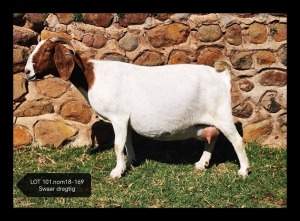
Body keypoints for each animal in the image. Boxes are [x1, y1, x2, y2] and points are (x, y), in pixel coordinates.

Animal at [24, 38, 251, 180]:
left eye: (47, 50)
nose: (27, 72)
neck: (92, 76)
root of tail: (222, 75)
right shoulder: (126, 120)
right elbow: (127, 143)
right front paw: (129, 162)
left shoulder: (118, 117)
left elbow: (117, 145)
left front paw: (116, 172)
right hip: (207, 120)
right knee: (212, 137)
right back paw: (201, 164)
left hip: (222, 114)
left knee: (237, 140)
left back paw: (243, 171)